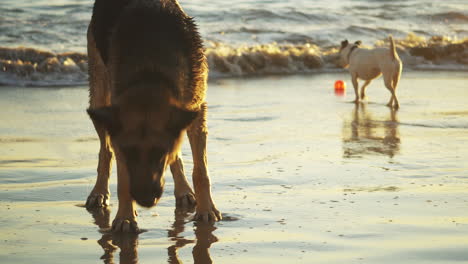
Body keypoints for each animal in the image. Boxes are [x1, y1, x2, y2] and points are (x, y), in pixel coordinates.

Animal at [85, 0, 221, 231]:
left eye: (160, 153)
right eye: (129, 153)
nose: (145, 199)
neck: (151, 74)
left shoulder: (195, 112)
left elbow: (200, 170)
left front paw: (206, 210)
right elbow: (123, 178)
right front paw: (125, 217)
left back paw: (183, 190)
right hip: (99, 96)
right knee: (105, 150)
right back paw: (99, 192)